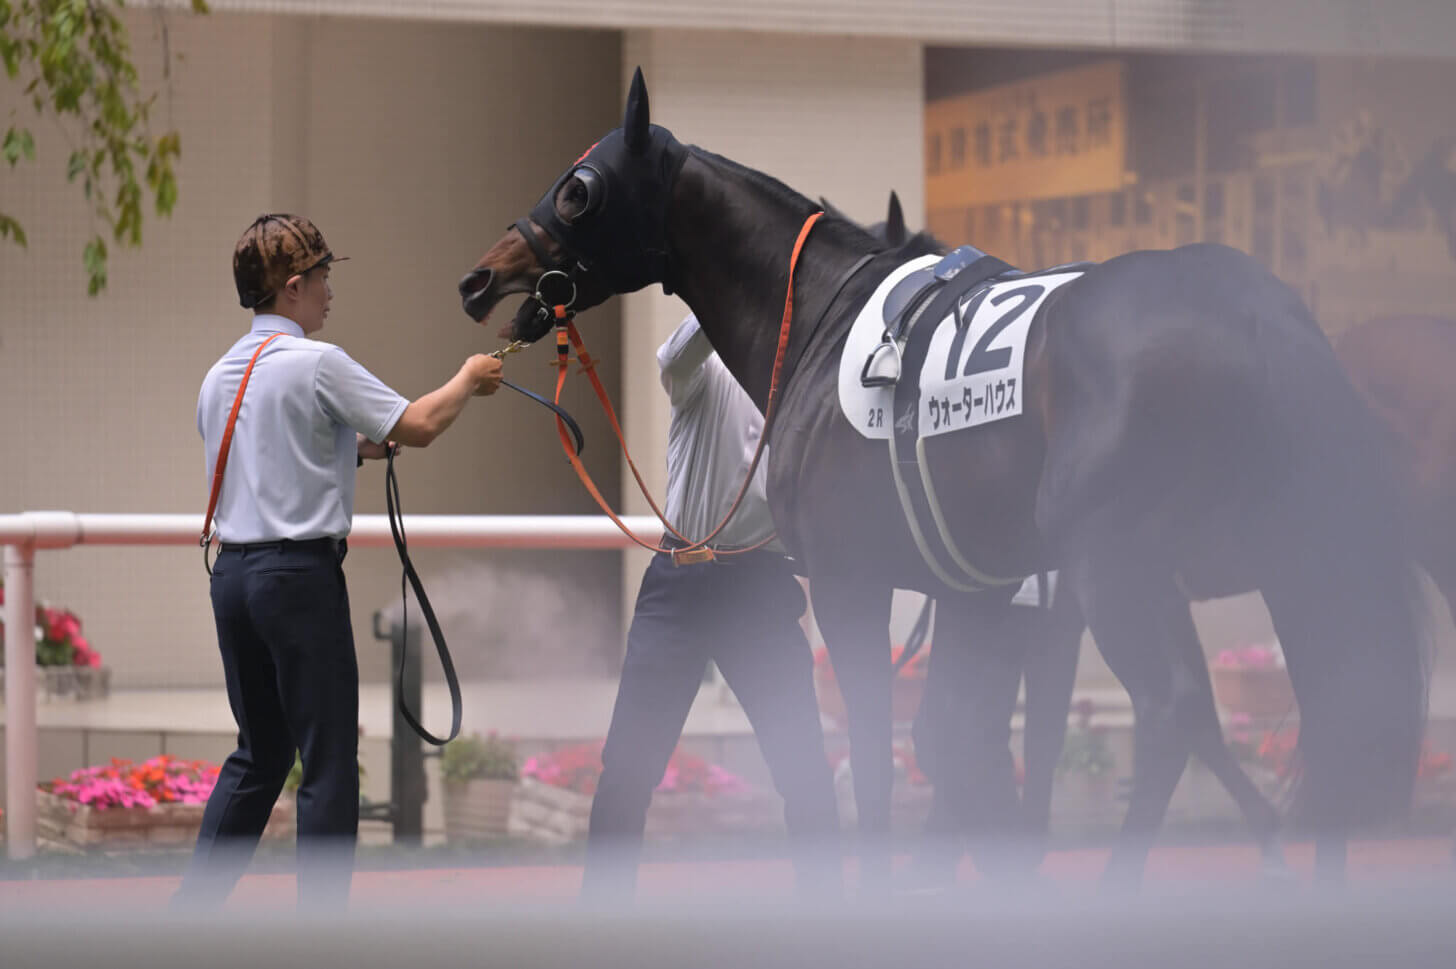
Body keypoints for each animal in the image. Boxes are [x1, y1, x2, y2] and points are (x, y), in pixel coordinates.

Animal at [463, 68, 1432, 884]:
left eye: (577, 186)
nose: (480, 276)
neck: (820, 318)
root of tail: (1266, 313)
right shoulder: (980, 590)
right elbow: (954, 741)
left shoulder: (854, 582)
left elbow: (882, 750)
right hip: (1285, 560)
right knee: (1330, 712)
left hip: (1115, 564)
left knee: (1175, 709)